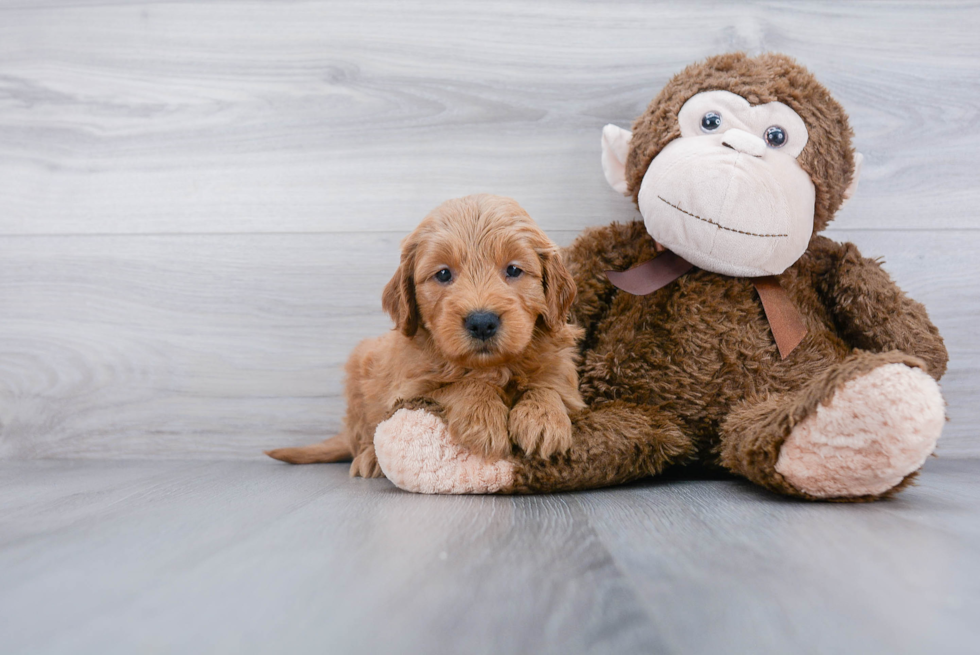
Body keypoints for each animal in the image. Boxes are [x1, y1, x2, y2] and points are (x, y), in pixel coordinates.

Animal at [266, 193, 580, 476]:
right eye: (443, 274)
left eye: (514, 270)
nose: (482, 322)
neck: (491, 367)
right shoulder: (410, 391)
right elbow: (461, 384)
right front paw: (483, 420)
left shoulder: (563, 375)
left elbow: (548, 387)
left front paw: (543, 421)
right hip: (359, 377)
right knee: (361, 435)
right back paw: (369, 459)